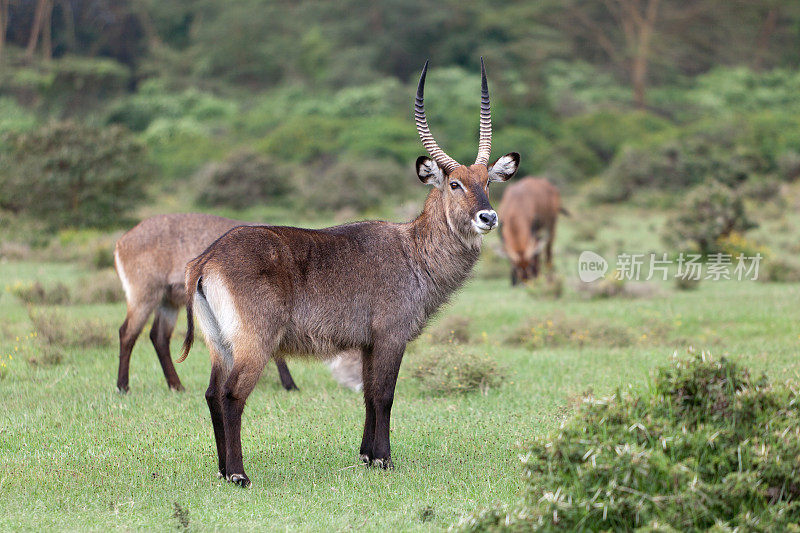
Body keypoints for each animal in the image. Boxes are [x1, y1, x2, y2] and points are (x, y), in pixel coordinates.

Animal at [113, 214, 362, 392]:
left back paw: (177, 386)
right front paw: (290, 385)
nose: (361, 387)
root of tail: (122, 240)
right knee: (127, 332)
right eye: (358, 358)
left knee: (159, 337)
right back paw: (123, 386)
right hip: (144, 295)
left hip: (168, 301)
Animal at [179, 59, 520, 486]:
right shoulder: (391, 335)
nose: (488, 217)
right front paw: (385, 460)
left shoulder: (368, 342)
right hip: (253, 341)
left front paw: (367, 455)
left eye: (487, 181)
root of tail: (207, 258)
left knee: (211, 394)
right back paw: (239, 475)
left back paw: (224, 471)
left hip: (218, 343)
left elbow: (368, 395)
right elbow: (385, 395)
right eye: (455, 184)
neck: (414, 250)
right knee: (231, 395)